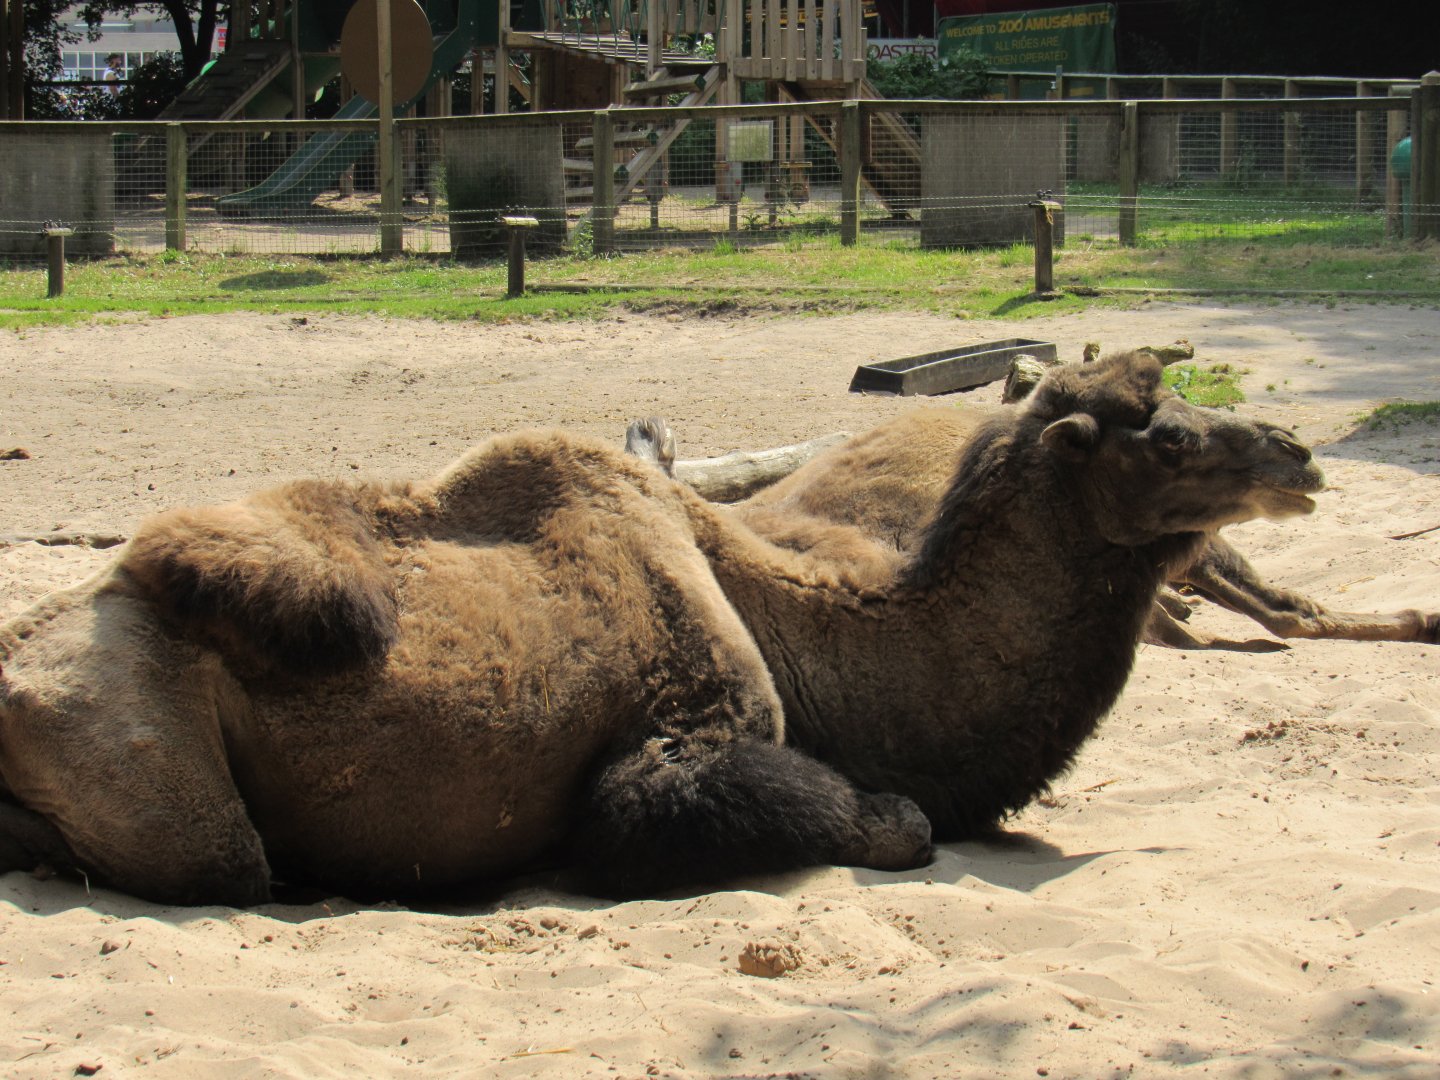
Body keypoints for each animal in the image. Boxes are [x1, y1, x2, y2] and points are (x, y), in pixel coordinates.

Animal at [0, 351, 1330, 906]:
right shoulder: (677, 741)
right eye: (1169, 436)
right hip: (164, 776)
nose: (1300, 454)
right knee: (222, 863)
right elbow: (889, 823)